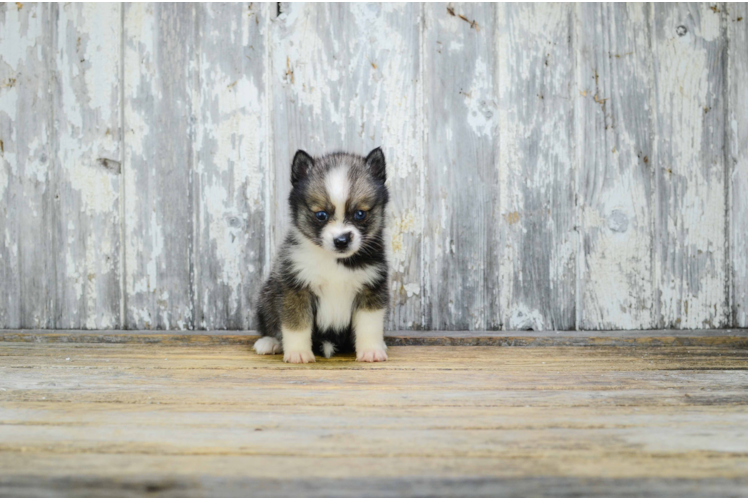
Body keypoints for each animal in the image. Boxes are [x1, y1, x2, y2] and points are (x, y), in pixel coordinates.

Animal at [253, 148, 388, 364]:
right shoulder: (296, 289)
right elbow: (296, 325)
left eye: (360, 214)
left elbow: (370, 325)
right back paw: (269, 342)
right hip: (267, 295)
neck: (333, 260)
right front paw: (298, 353)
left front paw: (371, 350)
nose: (341, 240)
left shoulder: (371, 289)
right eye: (321, 215)